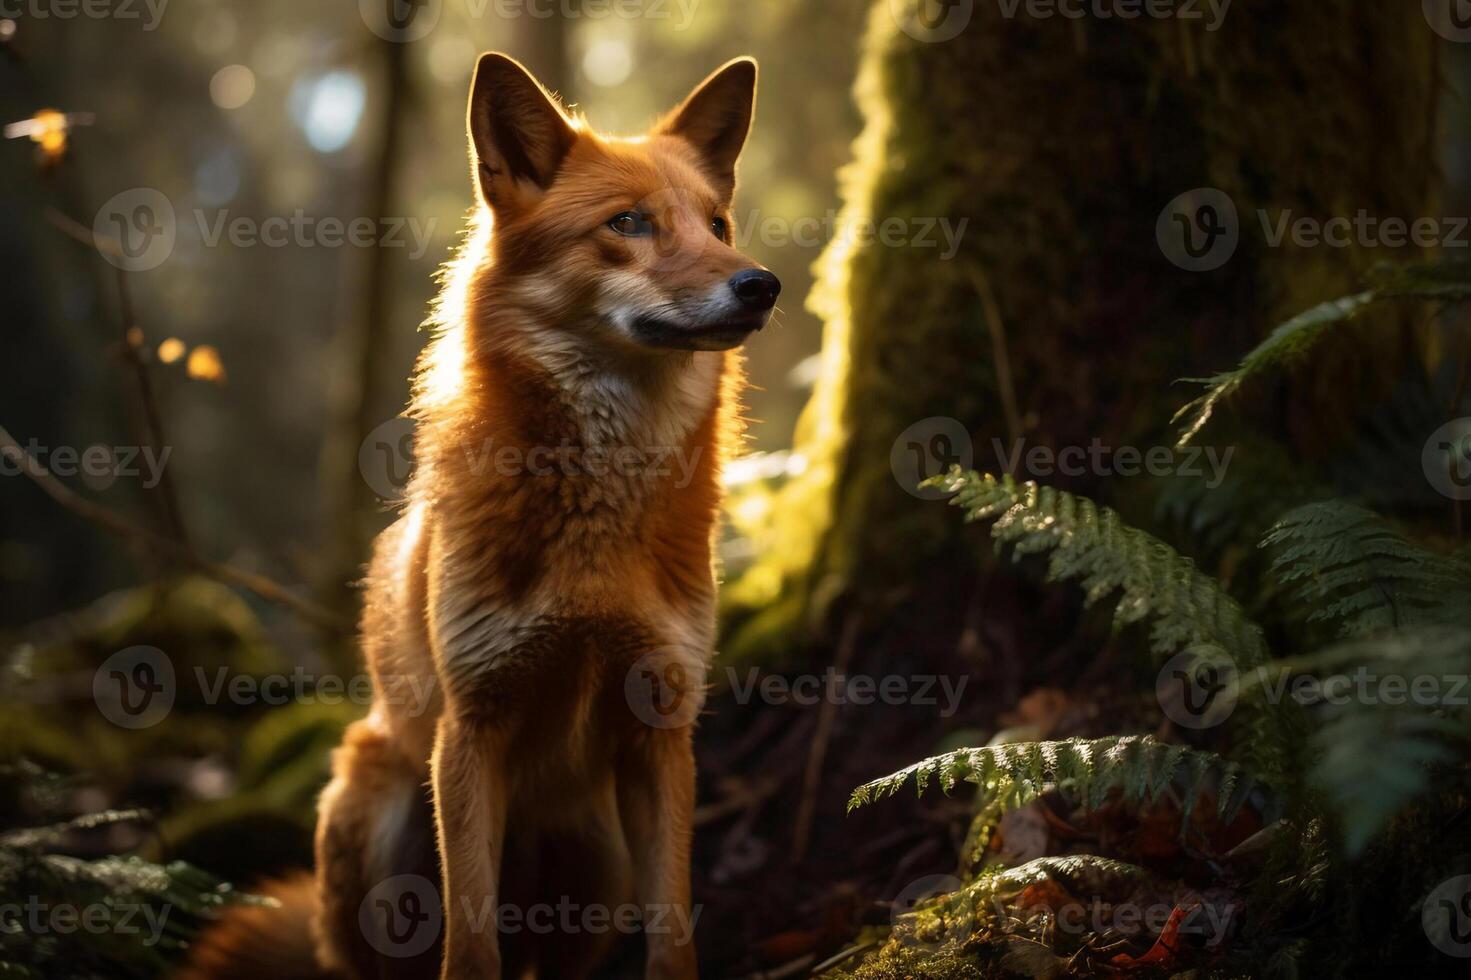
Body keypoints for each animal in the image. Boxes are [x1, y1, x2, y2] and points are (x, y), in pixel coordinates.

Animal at [180, 51, 782, 977]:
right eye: (629, 222)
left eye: (716, 225)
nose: (760, 285)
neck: (594, 530)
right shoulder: (473, 727)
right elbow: (469, 945)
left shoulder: (661, 729)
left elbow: (672, 937)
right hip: (380, 823)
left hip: (598, 862)